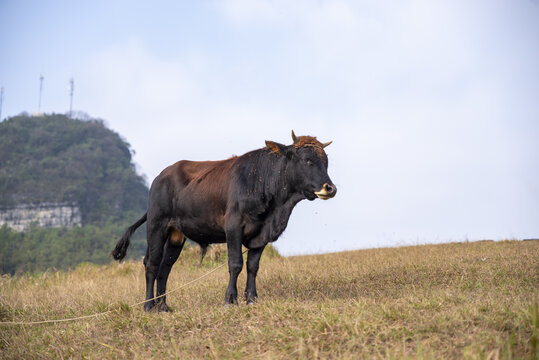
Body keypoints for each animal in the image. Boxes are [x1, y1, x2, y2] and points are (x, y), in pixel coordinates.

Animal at [111, 132, 336, 312]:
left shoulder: (261, 234)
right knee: (152, 264)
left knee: (165, 268)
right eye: (307, 160)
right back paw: (149, 306)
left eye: (326, 162)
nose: (330, 188)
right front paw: (230, 300)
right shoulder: (233, 227)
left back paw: (163, 306)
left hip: (176, 235)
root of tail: (161, 176)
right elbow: (235, 264)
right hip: (157, 225)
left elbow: (253, 266)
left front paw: (251, 299)